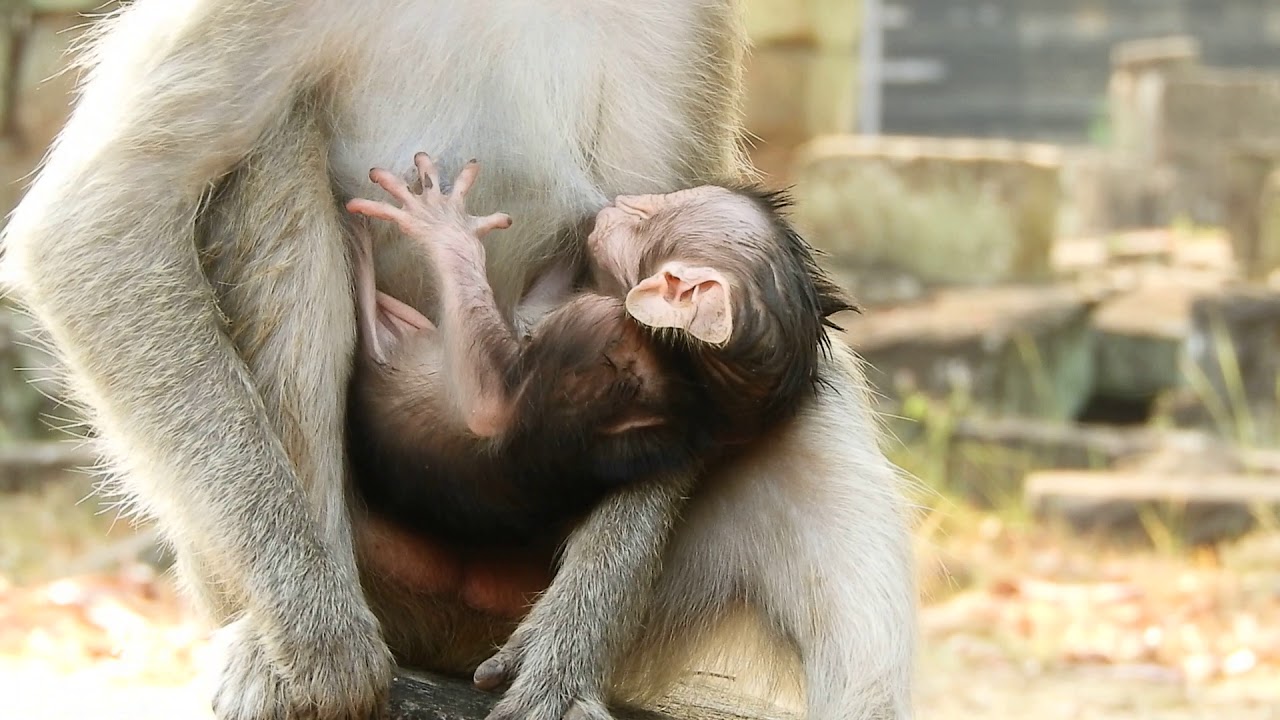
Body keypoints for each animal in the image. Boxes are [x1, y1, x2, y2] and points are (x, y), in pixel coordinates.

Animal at [343, 152, 854, 548]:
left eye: (646, 212)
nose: (621, 202)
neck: (689, 377)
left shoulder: (594, 326)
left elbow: (490, 408)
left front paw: (444, 228)